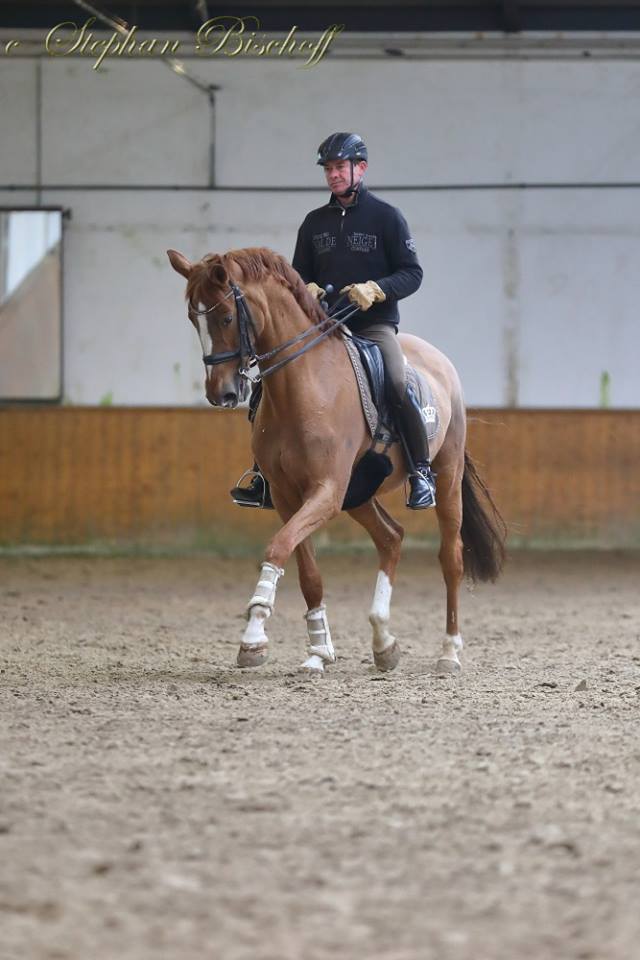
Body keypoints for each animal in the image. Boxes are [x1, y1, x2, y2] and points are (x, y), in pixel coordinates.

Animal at [168, 251, 508, 680]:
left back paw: (449, 653)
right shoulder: (289, 497)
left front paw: (253, 637)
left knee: (451, 558)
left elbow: (277, 548)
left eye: (227, 317)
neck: (302, 387)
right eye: (192, 319)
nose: (222, 393)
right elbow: (308, 573)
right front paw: (318, 651)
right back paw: (383, 643)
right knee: (391, 537)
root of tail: (439, 361)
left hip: (444, 477)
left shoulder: (325, 492)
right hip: (358, 494)